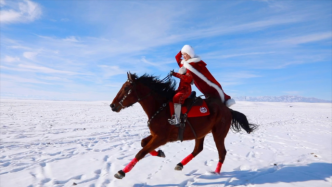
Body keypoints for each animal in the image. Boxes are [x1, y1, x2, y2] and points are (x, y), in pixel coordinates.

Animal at [110, 72, 255, 179]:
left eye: (126, 88)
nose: (112, 105)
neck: (160, 107)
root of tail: (228, 110)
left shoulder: (162, 138)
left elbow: (141, 152)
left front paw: (122, 172)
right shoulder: (155, 135)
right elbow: (143, 143)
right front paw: (160, 153)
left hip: (218, 133)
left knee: (222, 152)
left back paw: (216, 172)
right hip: (200, 132)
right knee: (198, 149)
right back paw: (180, 164)